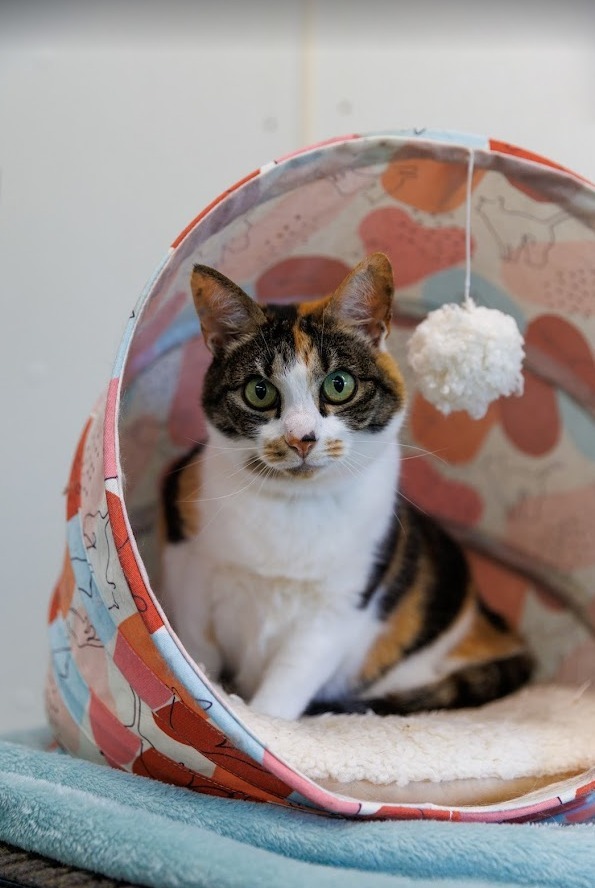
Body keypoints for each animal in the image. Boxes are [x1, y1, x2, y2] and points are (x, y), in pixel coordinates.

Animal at [161, 251, 532, 720]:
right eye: (259, 391)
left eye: (339, 385)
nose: (301, 438)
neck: (294, 506)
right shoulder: (190, 568)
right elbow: (196, 653)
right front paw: (210, 695)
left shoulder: (339, 607)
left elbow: (289, 682)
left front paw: (262, 722)